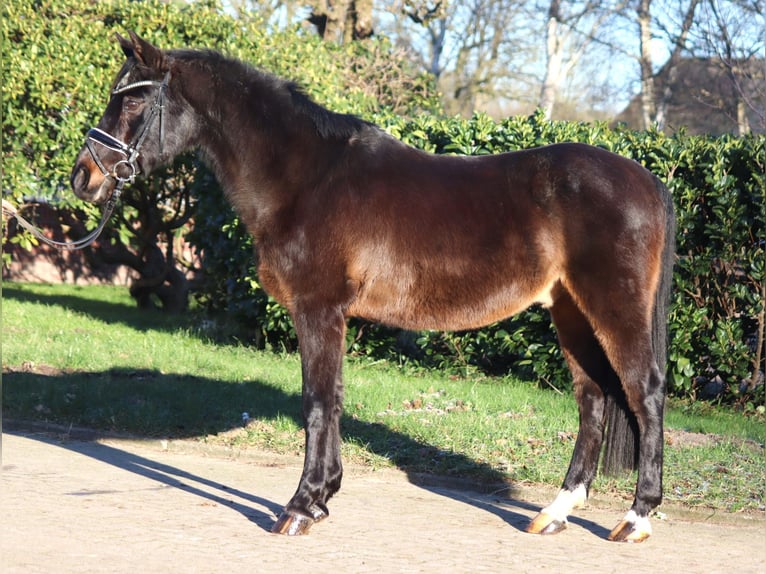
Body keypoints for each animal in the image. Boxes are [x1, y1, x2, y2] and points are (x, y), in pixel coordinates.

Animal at [69, 32, 676, 544]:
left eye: (132, 102)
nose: (83, 178)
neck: (304, 179)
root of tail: (646, 180)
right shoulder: (333, 317)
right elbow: (333, 400)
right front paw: (321, 499)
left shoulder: (318, 310)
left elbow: (316, 402)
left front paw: (298, 508)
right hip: (569, 311)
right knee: (593, 399)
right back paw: (555, 512)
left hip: (612, 308)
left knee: (644, 393)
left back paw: (636, 518)